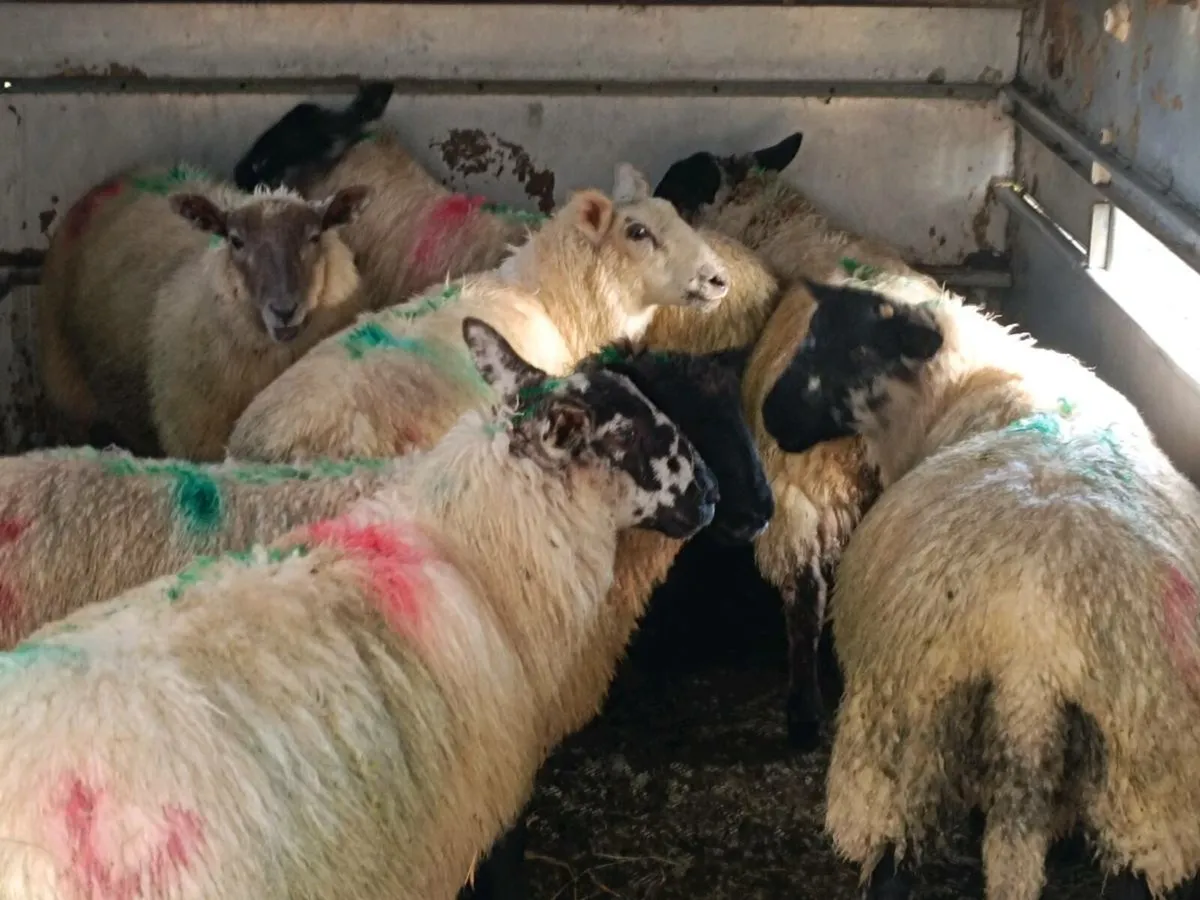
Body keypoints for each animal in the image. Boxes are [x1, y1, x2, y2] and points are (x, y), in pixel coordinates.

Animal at [36, 163, 372, 459]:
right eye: (236, 241)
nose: (284, 310)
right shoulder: (195, 438)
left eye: (314, 237)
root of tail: (113, 179)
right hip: (68, 387)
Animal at [761, 281, 1200, 900]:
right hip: (1146, 773)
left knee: (891, 859)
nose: (771, 414)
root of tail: (1032, 652)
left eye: (855, 352)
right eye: (813, 331)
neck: (960, 384)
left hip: (901, 735)